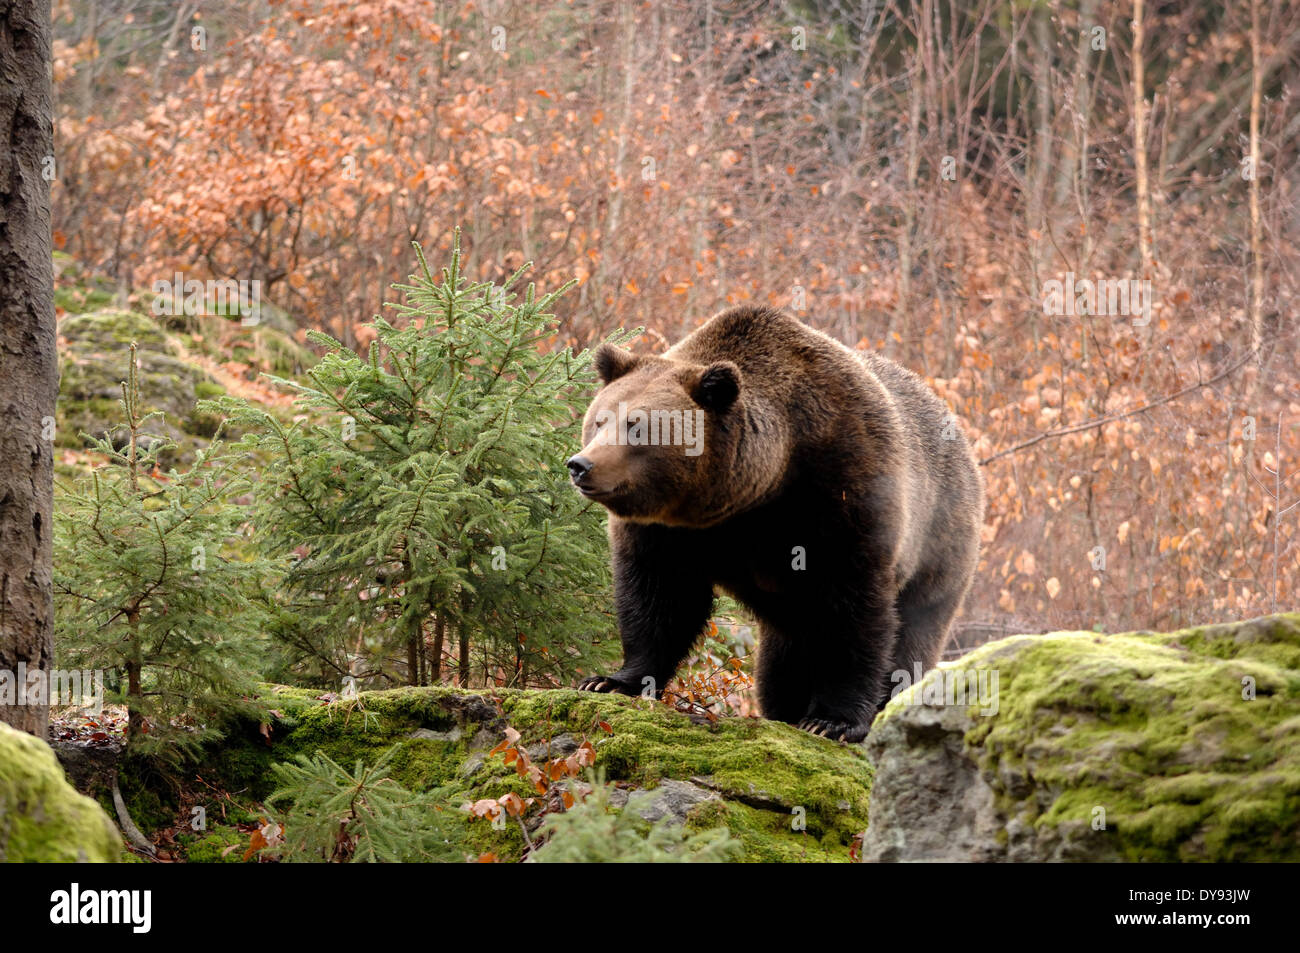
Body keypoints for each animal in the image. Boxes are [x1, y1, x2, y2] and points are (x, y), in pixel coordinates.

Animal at [569, 308, 982, 738]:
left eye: (637, 426)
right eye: (599, 420)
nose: (581, 465)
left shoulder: (843, 493)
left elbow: (853, 613)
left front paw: (832, 720)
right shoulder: (668, 530)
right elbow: (659, 596)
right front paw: (611, 680)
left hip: (941, 547)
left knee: (913, 635)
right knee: (782, 662)